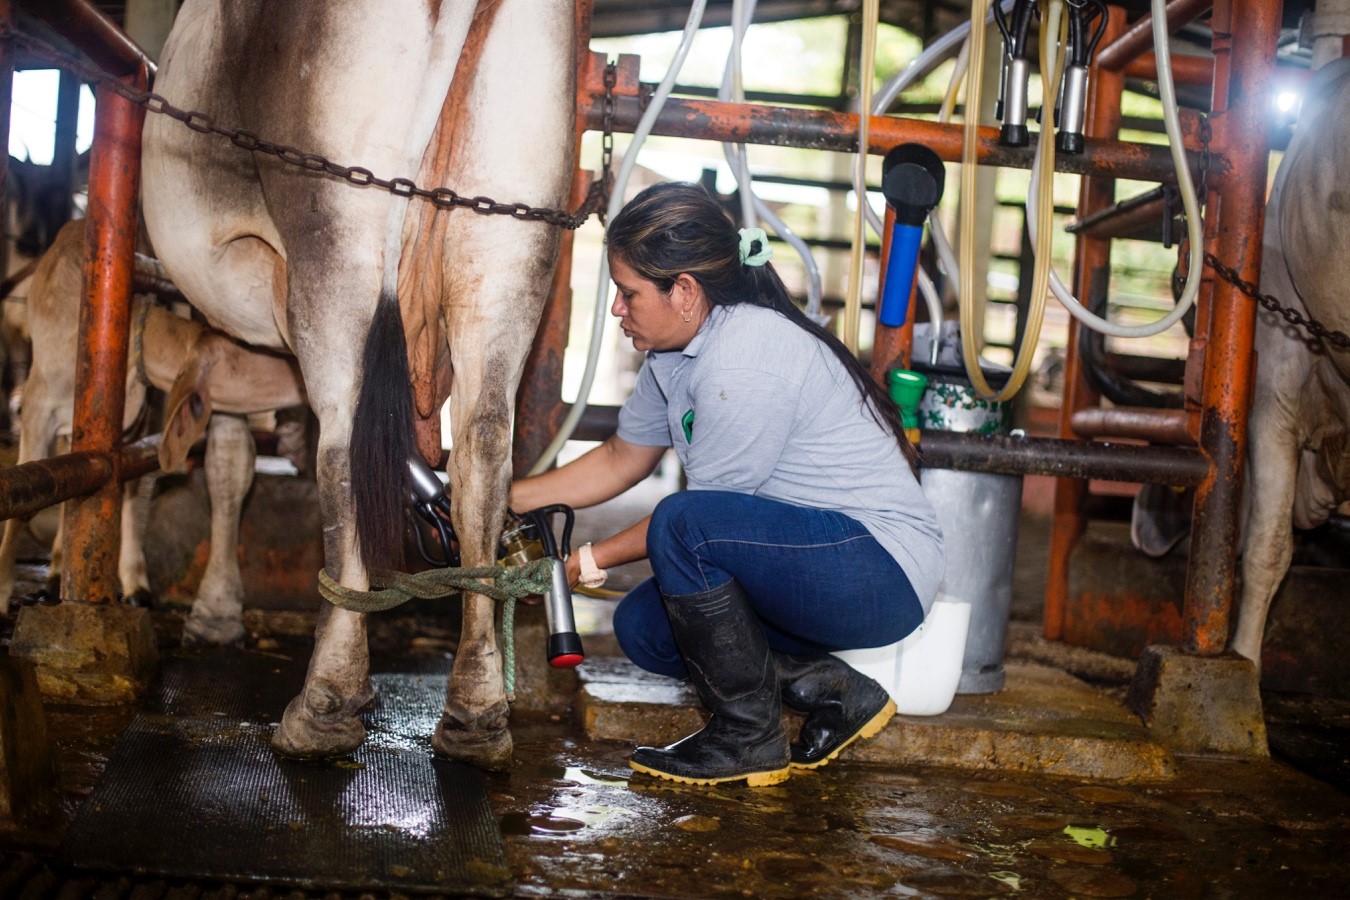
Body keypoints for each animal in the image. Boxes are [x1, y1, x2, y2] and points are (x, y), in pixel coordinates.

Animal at [0, 221, 306, 644]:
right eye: (244, 357)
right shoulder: (35, 405)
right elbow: (25, 496)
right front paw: (1, 593)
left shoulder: (133, 418)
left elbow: (121, 484)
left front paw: (133, 581)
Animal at [139, 1, 577, 777]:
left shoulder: (224, 328)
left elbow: (228, 461)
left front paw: (215, 613)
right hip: (508, 241)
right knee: (482, 450)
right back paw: (476, 713)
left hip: (335, 222)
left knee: (342, 453)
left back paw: (324, 705)